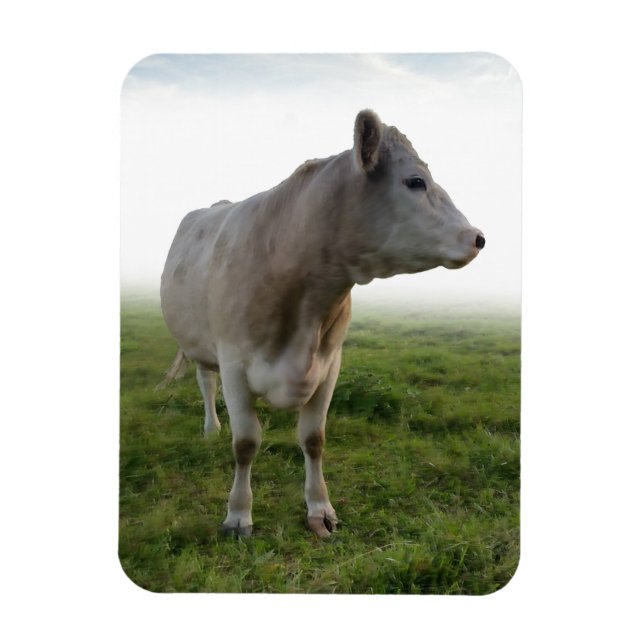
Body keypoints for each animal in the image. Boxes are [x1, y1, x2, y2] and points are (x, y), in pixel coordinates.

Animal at [160, 109, 485, 538]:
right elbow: (245, 443)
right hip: (200, 343)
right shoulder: (233, 362)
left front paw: (319, 509)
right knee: (205, 382)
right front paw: (238, 514)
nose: (477, 237)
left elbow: (313, 439)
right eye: (416, 181)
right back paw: (212, 429)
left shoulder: (329, 364)